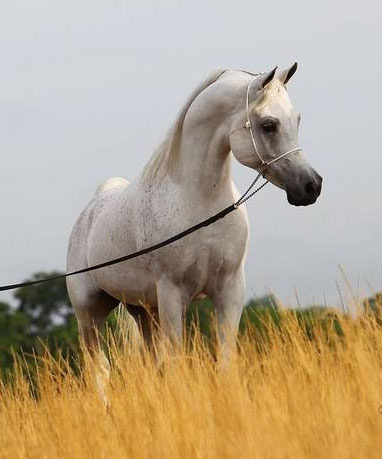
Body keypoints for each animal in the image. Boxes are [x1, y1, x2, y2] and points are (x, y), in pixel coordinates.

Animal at [66, 65, 322, 378]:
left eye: (296, 119)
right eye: (268, 125)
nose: (311, 186)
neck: (200, 202)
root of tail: (91, 211)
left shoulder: (230, 289)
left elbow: (225, 360)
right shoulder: (172, 294)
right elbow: (175, 361)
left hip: (143, 310)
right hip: (89, 313)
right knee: (100, 368)